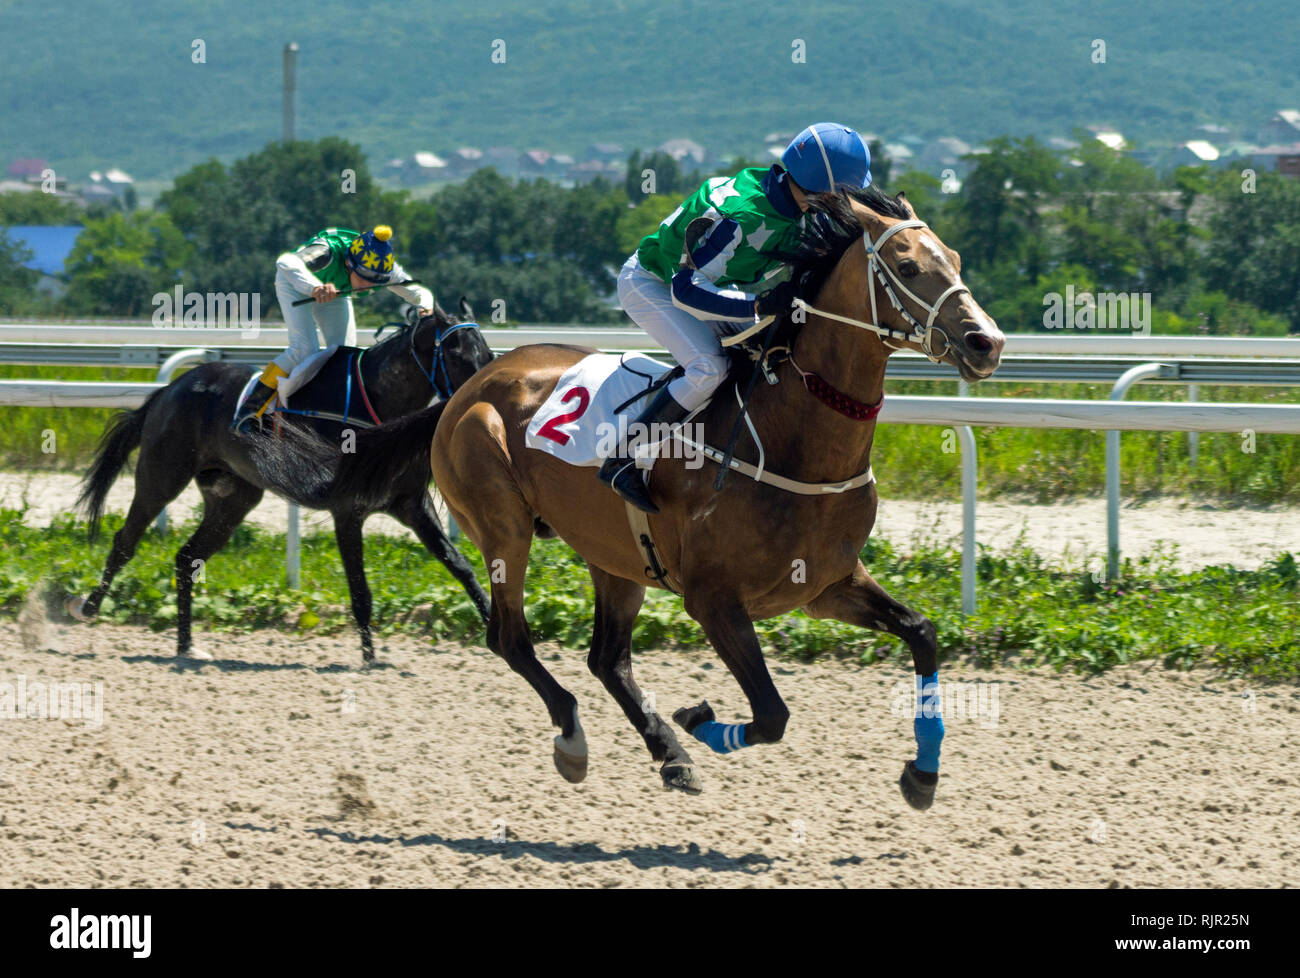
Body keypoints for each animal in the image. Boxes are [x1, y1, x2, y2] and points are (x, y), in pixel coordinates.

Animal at [72, 301, 496, 660]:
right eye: (457, 354)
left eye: (488, 354)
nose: (480, 393)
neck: (377, 404)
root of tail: (169, 390)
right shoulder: (347, 510)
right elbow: (360, 591)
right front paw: (369, 658)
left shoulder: (411, 504)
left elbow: (461, 566)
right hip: (161, 476)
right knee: (125, 541)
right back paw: (88, 606)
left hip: (233, 498)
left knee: (186, 558)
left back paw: (186, 645)